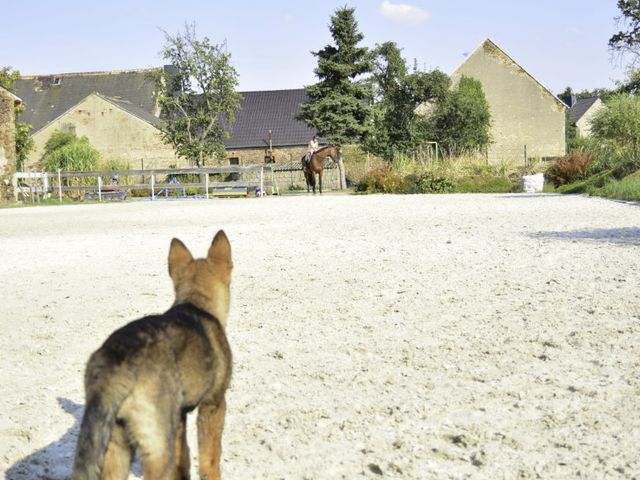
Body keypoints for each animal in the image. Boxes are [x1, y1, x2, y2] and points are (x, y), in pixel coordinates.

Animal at [73, 231, 232, 478]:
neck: (196, 302)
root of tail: (116, 366)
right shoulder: (214, 403)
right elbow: (210, 458)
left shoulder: (179, 417)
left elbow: (184, 459)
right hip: (156, 447)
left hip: (115, 445)